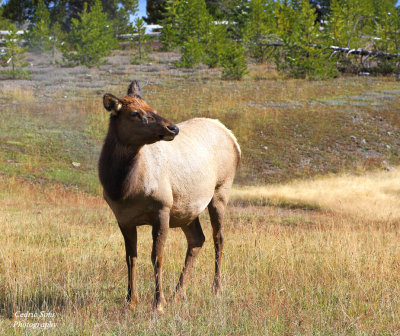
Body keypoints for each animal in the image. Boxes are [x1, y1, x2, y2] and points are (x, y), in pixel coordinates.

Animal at [99, 80, 241, 314]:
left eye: (153, 109)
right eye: (135, 113)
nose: (173, 128)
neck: (121, 189)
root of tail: (232, 136)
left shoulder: (162, 208)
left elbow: (157, 256)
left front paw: (158, 303)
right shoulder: (123, 218)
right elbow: (131, 258)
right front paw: (130, 301)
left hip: (221, 190)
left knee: (218, 238)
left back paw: (216, 289)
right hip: (186, 208)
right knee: (197, 238)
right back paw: (179, 292)